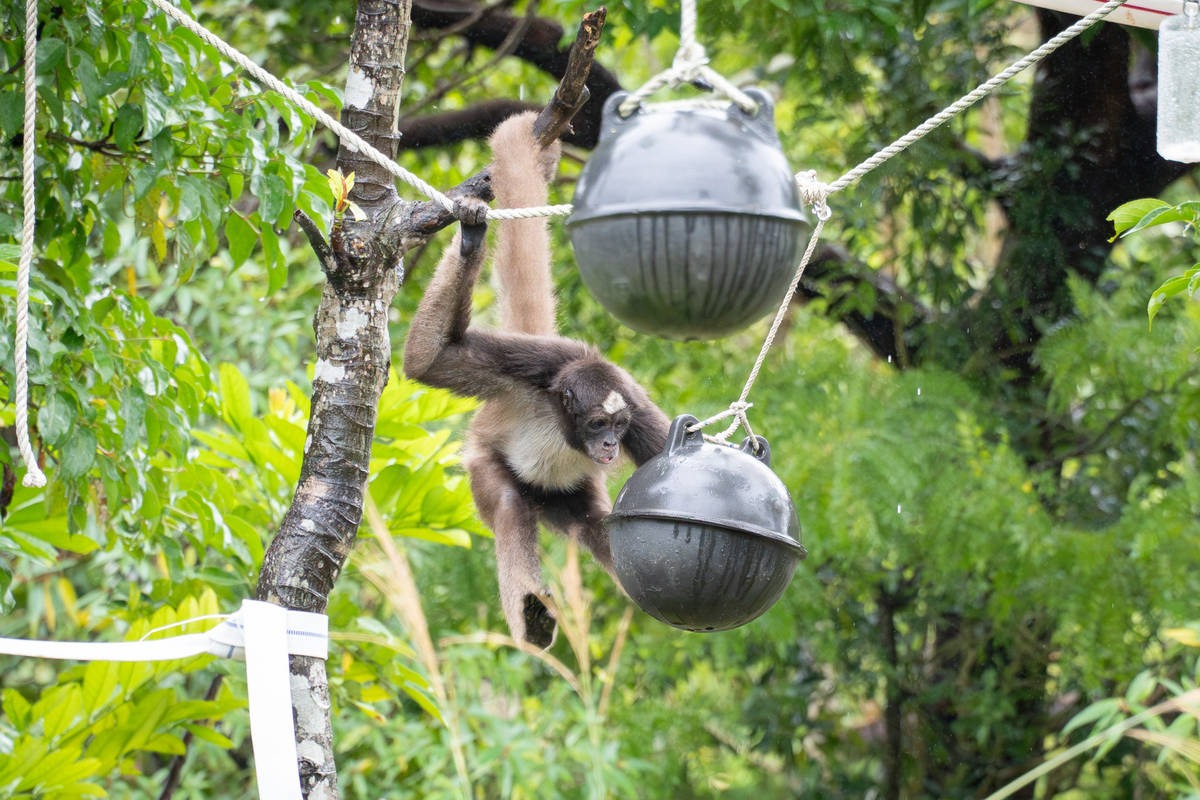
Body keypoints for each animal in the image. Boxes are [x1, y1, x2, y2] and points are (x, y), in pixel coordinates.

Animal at [405, 112, 672, 652]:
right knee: (510, 503)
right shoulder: (533, 363)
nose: (610, 446)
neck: (559, 414)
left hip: (572, 493)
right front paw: (469, 238)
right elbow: (426, 360)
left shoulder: (632, 402)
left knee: (596, 522)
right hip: (488, 468)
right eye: (596, 425)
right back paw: (532, 615)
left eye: (617, 426)